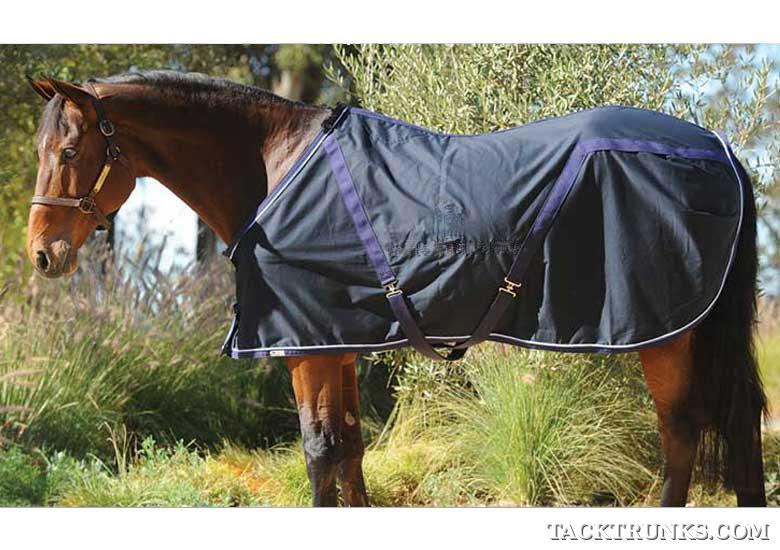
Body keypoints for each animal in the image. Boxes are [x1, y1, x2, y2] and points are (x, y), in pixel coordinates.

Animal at [25, 71, 767, 507]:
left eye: (69, 152)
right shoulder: (336, 343)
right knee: (731, 425)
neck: (276, 167)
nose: (41, 255)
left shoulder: (307, 348)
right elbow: (350, 450)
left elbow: (320, 454)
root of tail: (720, 149)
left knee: (683, 431)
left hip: (666, 333)